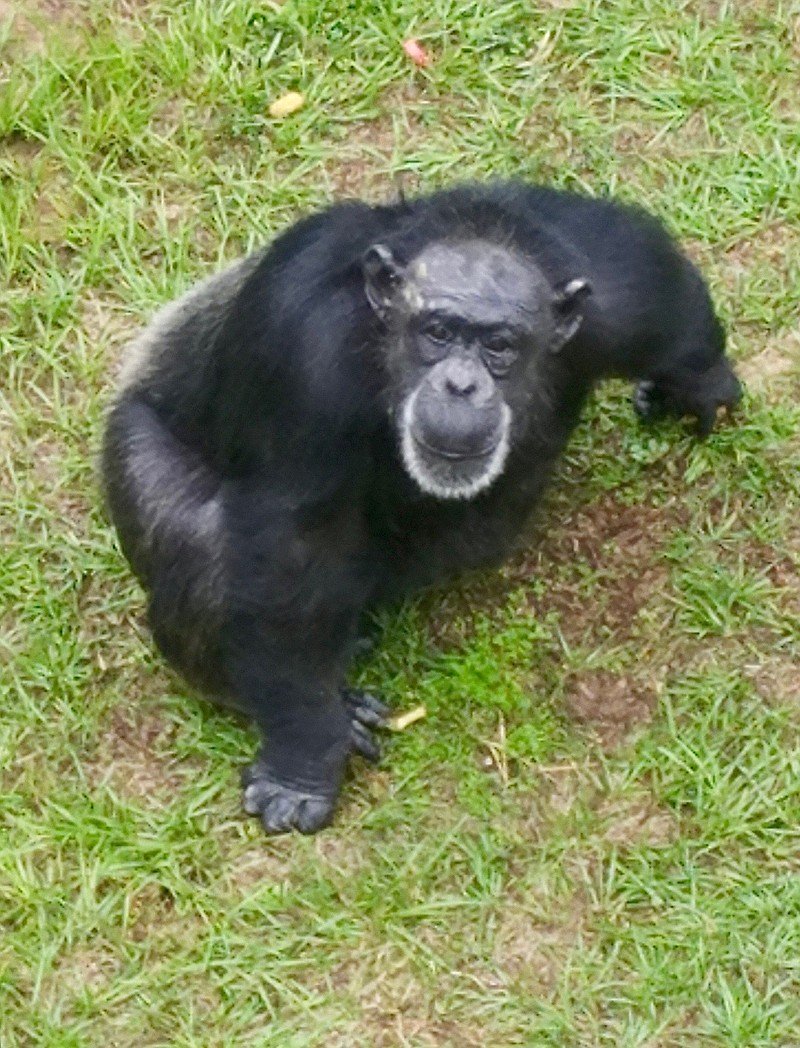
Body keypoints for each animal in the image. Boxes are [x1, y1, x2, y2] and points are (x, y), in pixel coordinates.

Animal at [101, 182, 746, 834]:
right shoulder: (301, 353)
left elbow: (659, 290)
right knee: (200, 535)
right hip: (132, 445)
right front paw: (302, 762)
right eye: (438, 331)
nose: (461, 384)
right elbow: (292, 546)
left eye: (499, 345)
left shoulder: (612, 295)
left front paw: (700, 379)